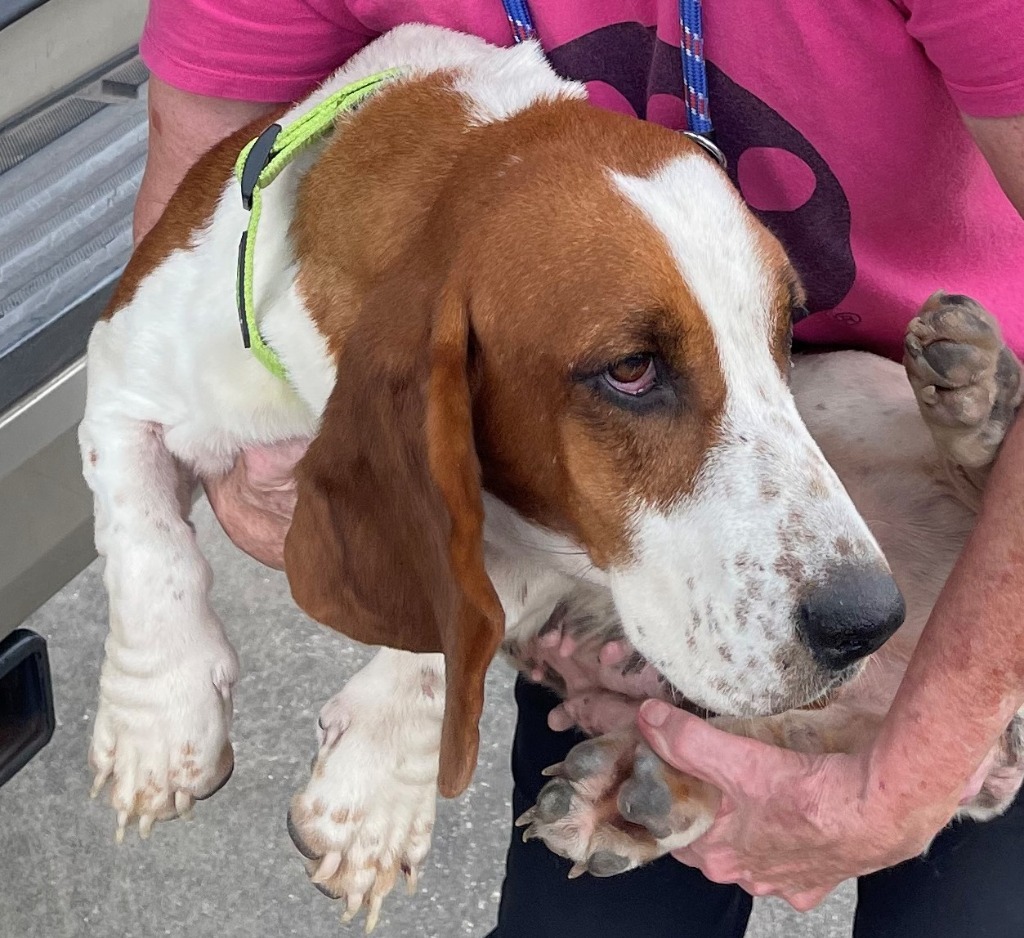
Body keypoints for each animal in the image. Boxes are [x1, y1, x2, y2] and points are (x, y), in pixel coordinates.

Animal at [79, 22, 1024, 929]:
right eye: (632, 370)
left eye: (786, 327)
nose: (867, 623)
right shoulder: (124, 374)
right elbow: (150, 548)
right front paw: (159, 725)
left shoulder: (551, 543)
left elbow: (451, 625)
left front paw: (374, 790)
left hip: (844, 390)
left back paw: (979, 404)